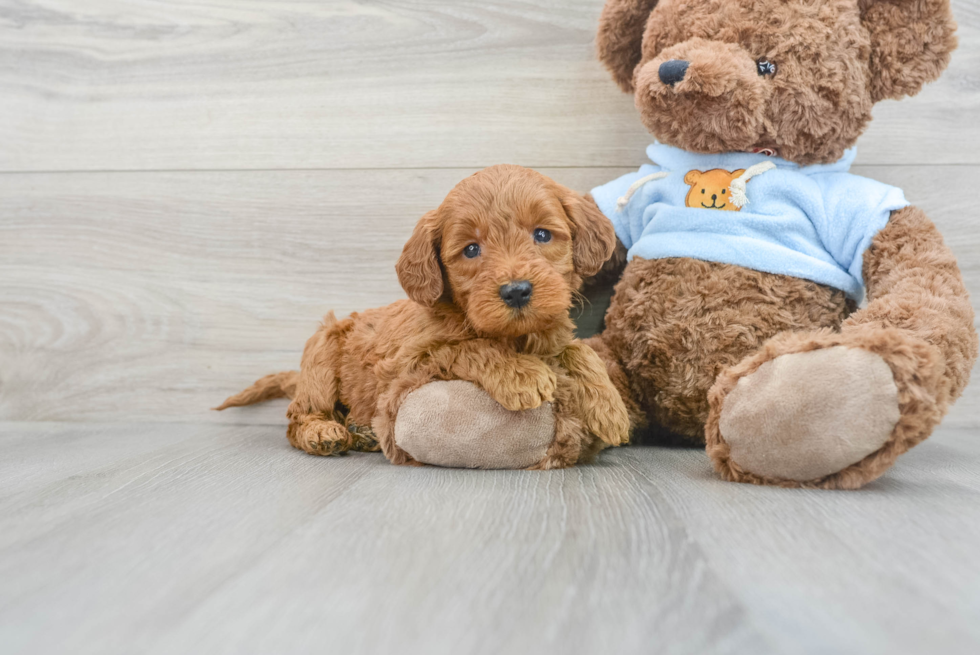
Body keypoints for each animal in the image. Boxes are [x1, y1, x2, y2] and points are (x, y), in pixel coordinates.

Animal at [216, 167, 628, 468]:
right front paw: (521, 374)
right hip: (321, 356)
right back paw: (324, 433)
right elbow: (470, 348)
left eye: (542, 234)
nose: (517, 291)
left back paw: (362, 433)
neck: (512, 335)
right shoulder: (410, 362)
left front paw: (611, 408)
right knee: (297, 418)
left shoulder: (552, 334)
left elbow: (579, 351)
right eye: (471, 249)